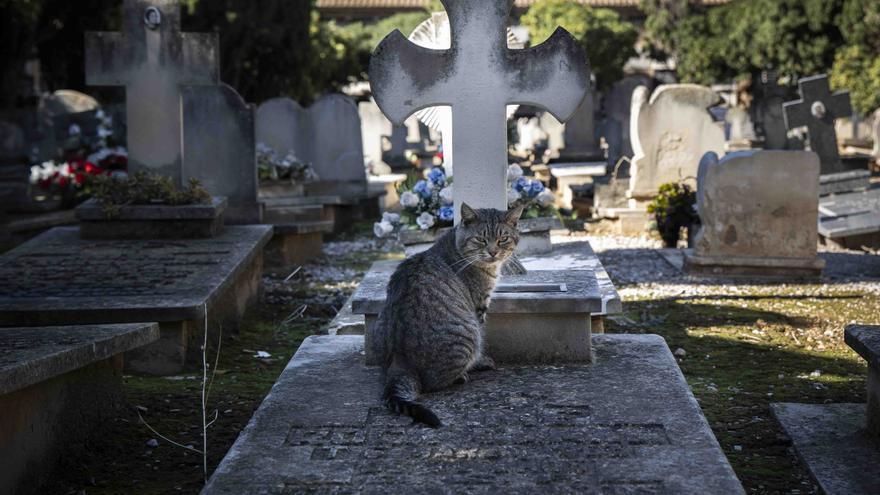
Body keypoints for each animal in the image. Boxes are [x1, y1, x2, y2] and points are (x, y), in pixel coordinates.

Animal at [372, 203, 524, 428]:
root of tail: (401, 361)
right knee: (434, 383)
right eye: (481, 239)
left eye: (502, 239)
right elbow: (482, 339)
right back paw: (461, 376)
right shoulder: (479, 308)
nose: (493, 252)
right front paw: (481, 362)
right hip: (467, 335)